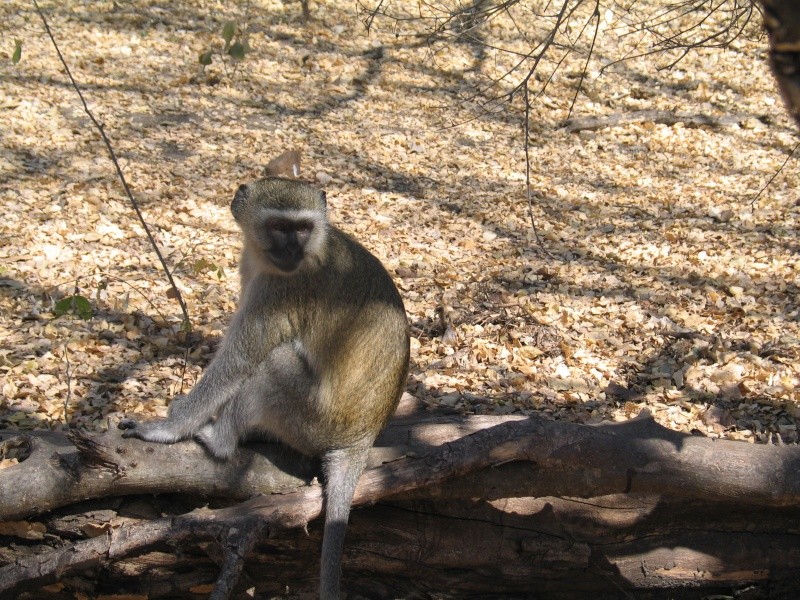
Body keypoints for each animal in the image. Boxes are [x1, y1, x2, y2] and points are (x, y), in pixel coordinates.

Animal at [119, 156, 412, 600]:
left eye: (302, 228)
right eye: (278, 227)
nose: (291, 249)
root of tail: (362, 437)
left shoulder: (281, 289)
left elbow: (239, 361)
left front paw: (168, 428)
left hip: (314, 421)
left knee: (271, 364)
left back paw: (219, 440)